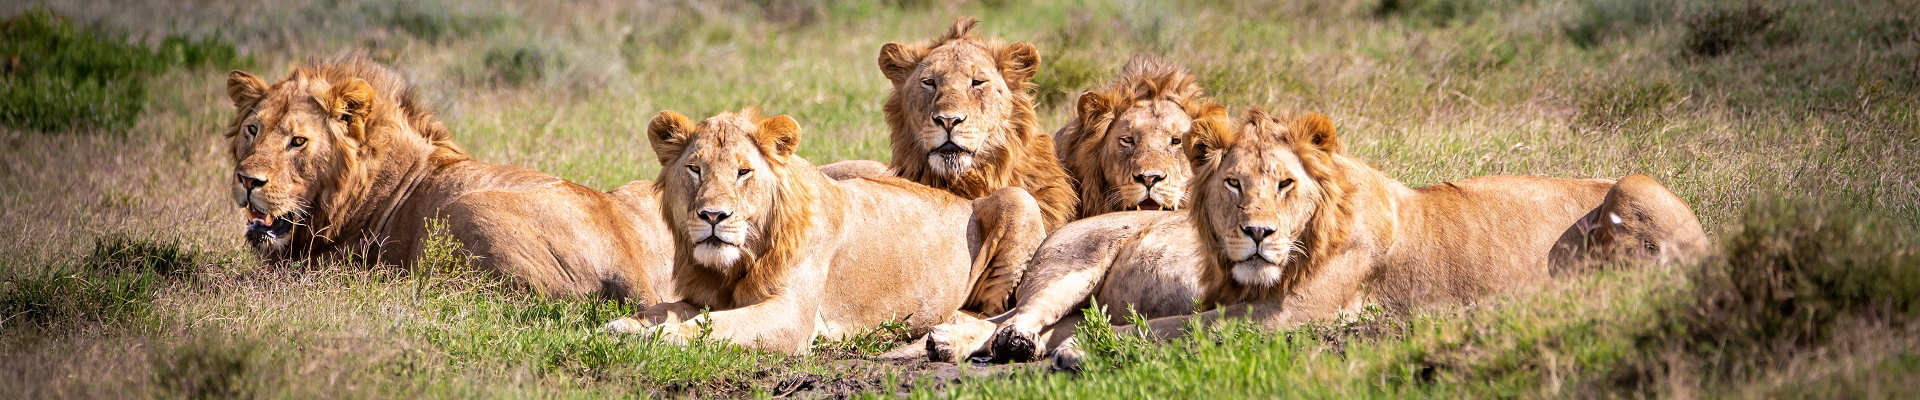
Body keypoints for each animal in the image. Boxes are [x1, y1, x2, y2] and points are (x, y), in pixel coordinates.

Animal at [602, 108, 1052, 353]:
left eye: (743, 172)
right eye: (695, 169)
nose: (714, 216)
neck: (735, 265)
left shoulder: (792, 316)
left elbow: (707, 328)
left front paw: (657, 338)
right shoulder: (701, 297)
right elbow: (665, 309)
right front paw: (621, 327)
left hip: (1017, 201)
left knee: (992, 310)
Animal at [917, 107, 1712, 363]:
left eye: (1286, 184)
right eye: (1234, 184)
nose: (1257, 234)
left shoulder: (1288, 311)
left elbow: (1181, 326)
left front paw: (1091, 349)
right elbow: (1178, 320)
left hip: (1637, 183)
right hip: (1077, 260)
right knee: (1023, 312)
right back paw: (963, 341)